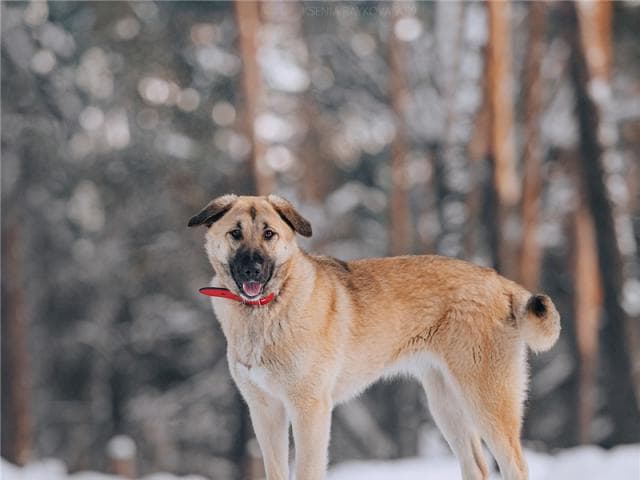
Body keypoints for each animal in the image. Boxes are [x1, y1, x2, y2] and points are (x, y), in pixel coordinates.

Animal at [186, 195, 560, 480]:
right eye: (235, 233)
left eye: (269, 234)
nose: (252, 269)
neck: (266, 310)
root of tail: (500, 281)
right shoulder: (265, 411)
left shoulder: (309, 409)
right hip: (446, 404)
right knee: (477, 468)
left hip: (487, 401)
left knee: (515, 465)